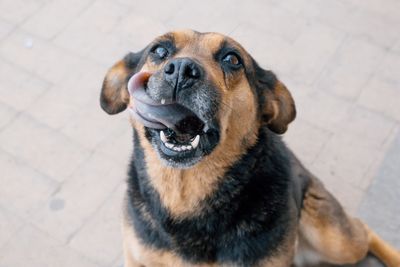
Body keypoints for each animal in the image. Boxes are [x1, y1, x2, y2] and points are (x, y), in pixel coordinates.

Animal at [100, 30, 400, 266]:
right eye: (159, 50)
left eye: (232, 59)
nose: (182, 69)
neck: (186, 195)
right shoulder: (136, 258)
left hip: (333, 237)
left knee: (365, 231)